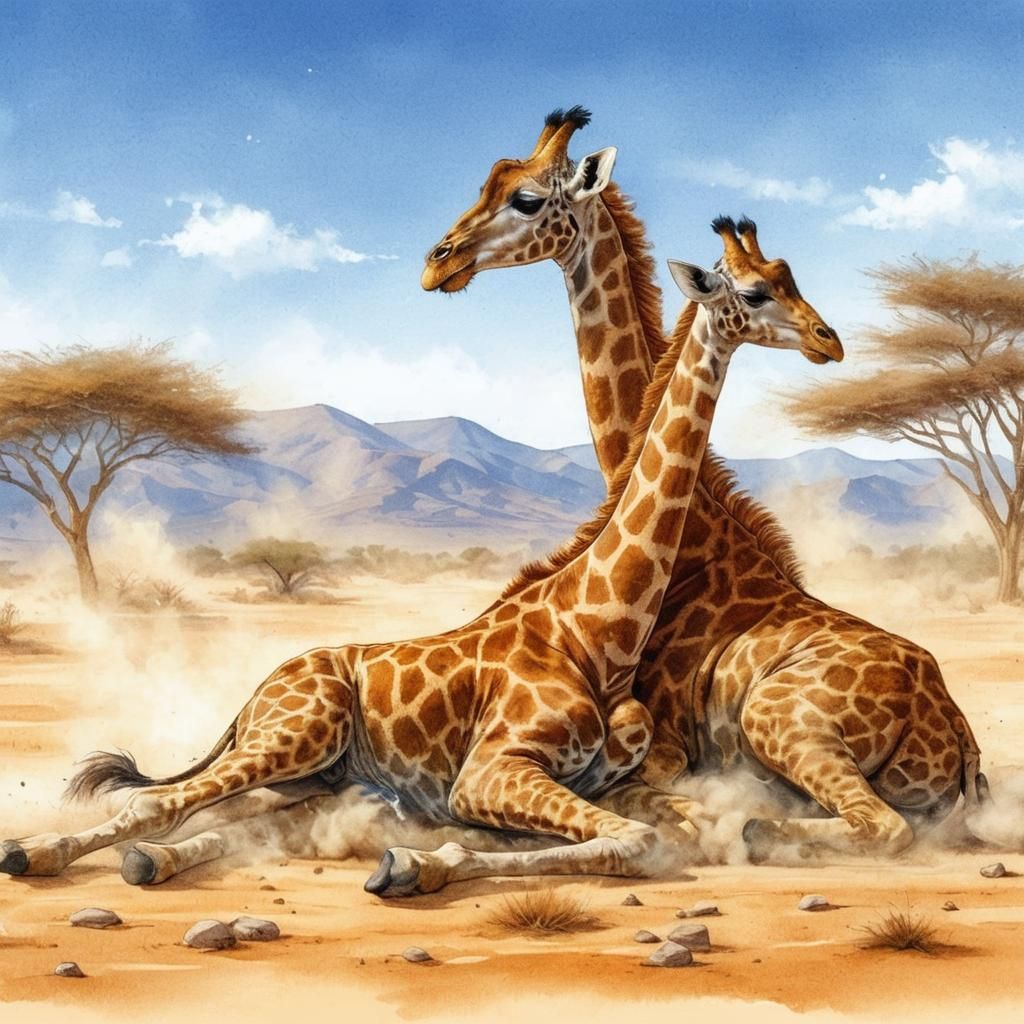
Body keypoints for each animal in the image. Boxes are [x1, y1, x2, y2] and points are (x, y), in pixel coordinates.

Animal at [0, 220, 842, 892]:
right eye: (756, 293)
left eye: (791, 279)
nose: (828, 340)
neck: (601, 632)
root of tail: (259, 689)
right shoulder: (489, 770)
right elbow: (633, 842)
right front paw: (419, 863)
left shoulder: (609, 778)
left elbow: (680, 825)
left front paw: (420, 857)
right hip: (296, 732)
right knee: (157, 799)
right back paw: (35, 854)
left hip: (313, 775)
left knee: (225, 818)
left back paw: (141, 860)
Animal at [422, 107, 988, 857]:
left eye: (528, 199)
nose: (437, 263)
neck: (694, 535)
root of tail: (953, 727)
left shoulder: (663, 743)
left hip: (779, 716)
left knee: (874, 823)